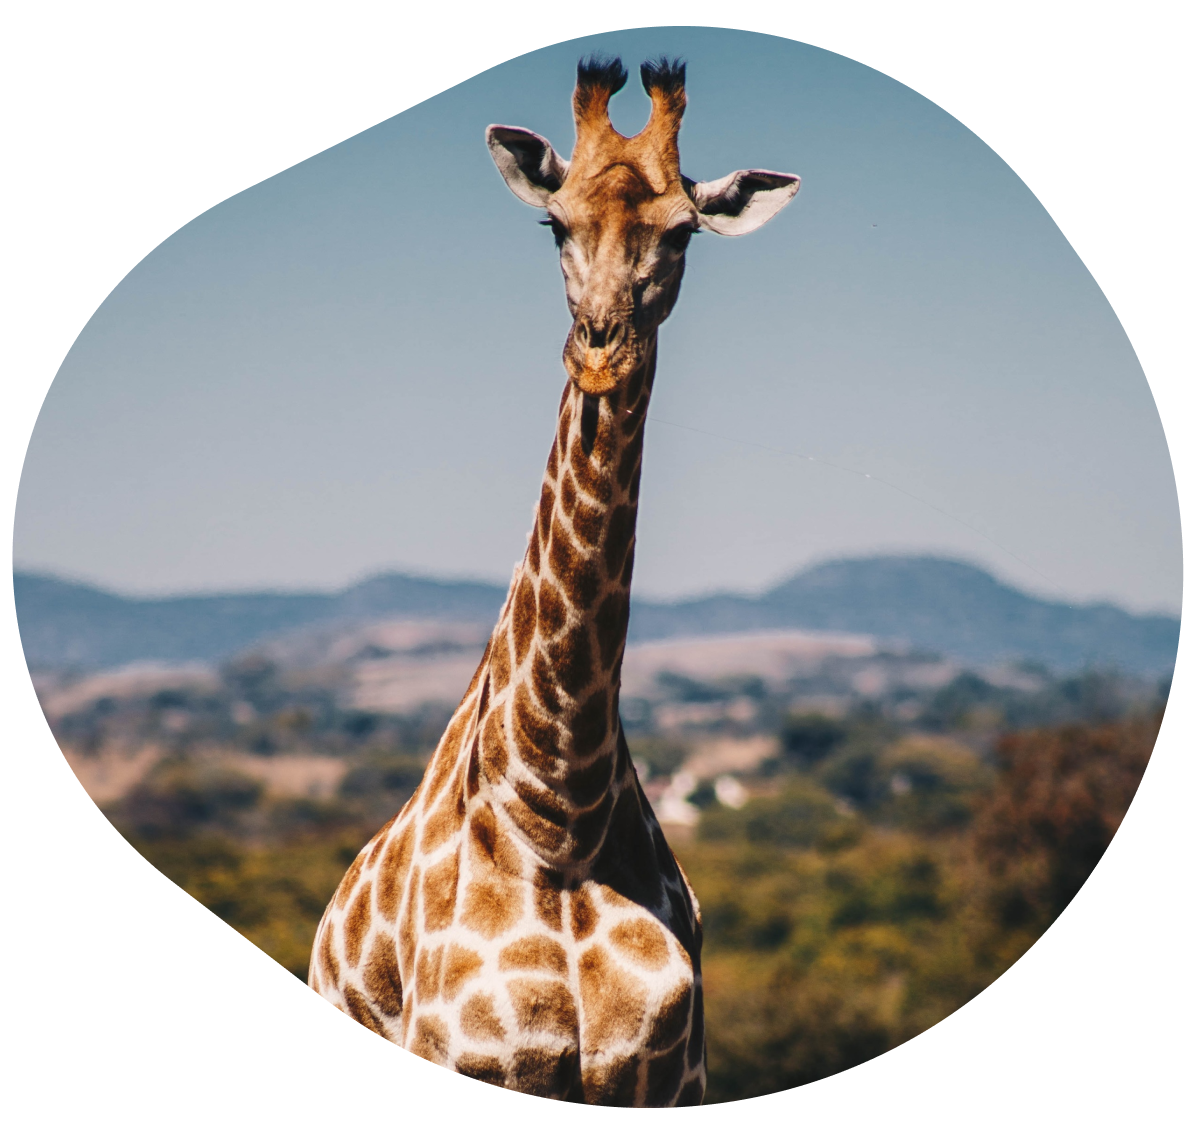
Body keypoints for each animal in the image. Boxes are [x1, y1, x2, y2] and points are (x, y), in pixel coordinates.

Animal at [308, 56, 799, 1105]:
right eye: (555, 223)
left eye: (683, 231)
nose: (601, 347)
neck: (558, 811)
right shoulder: (473, 1053)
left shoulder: (669, 1076)